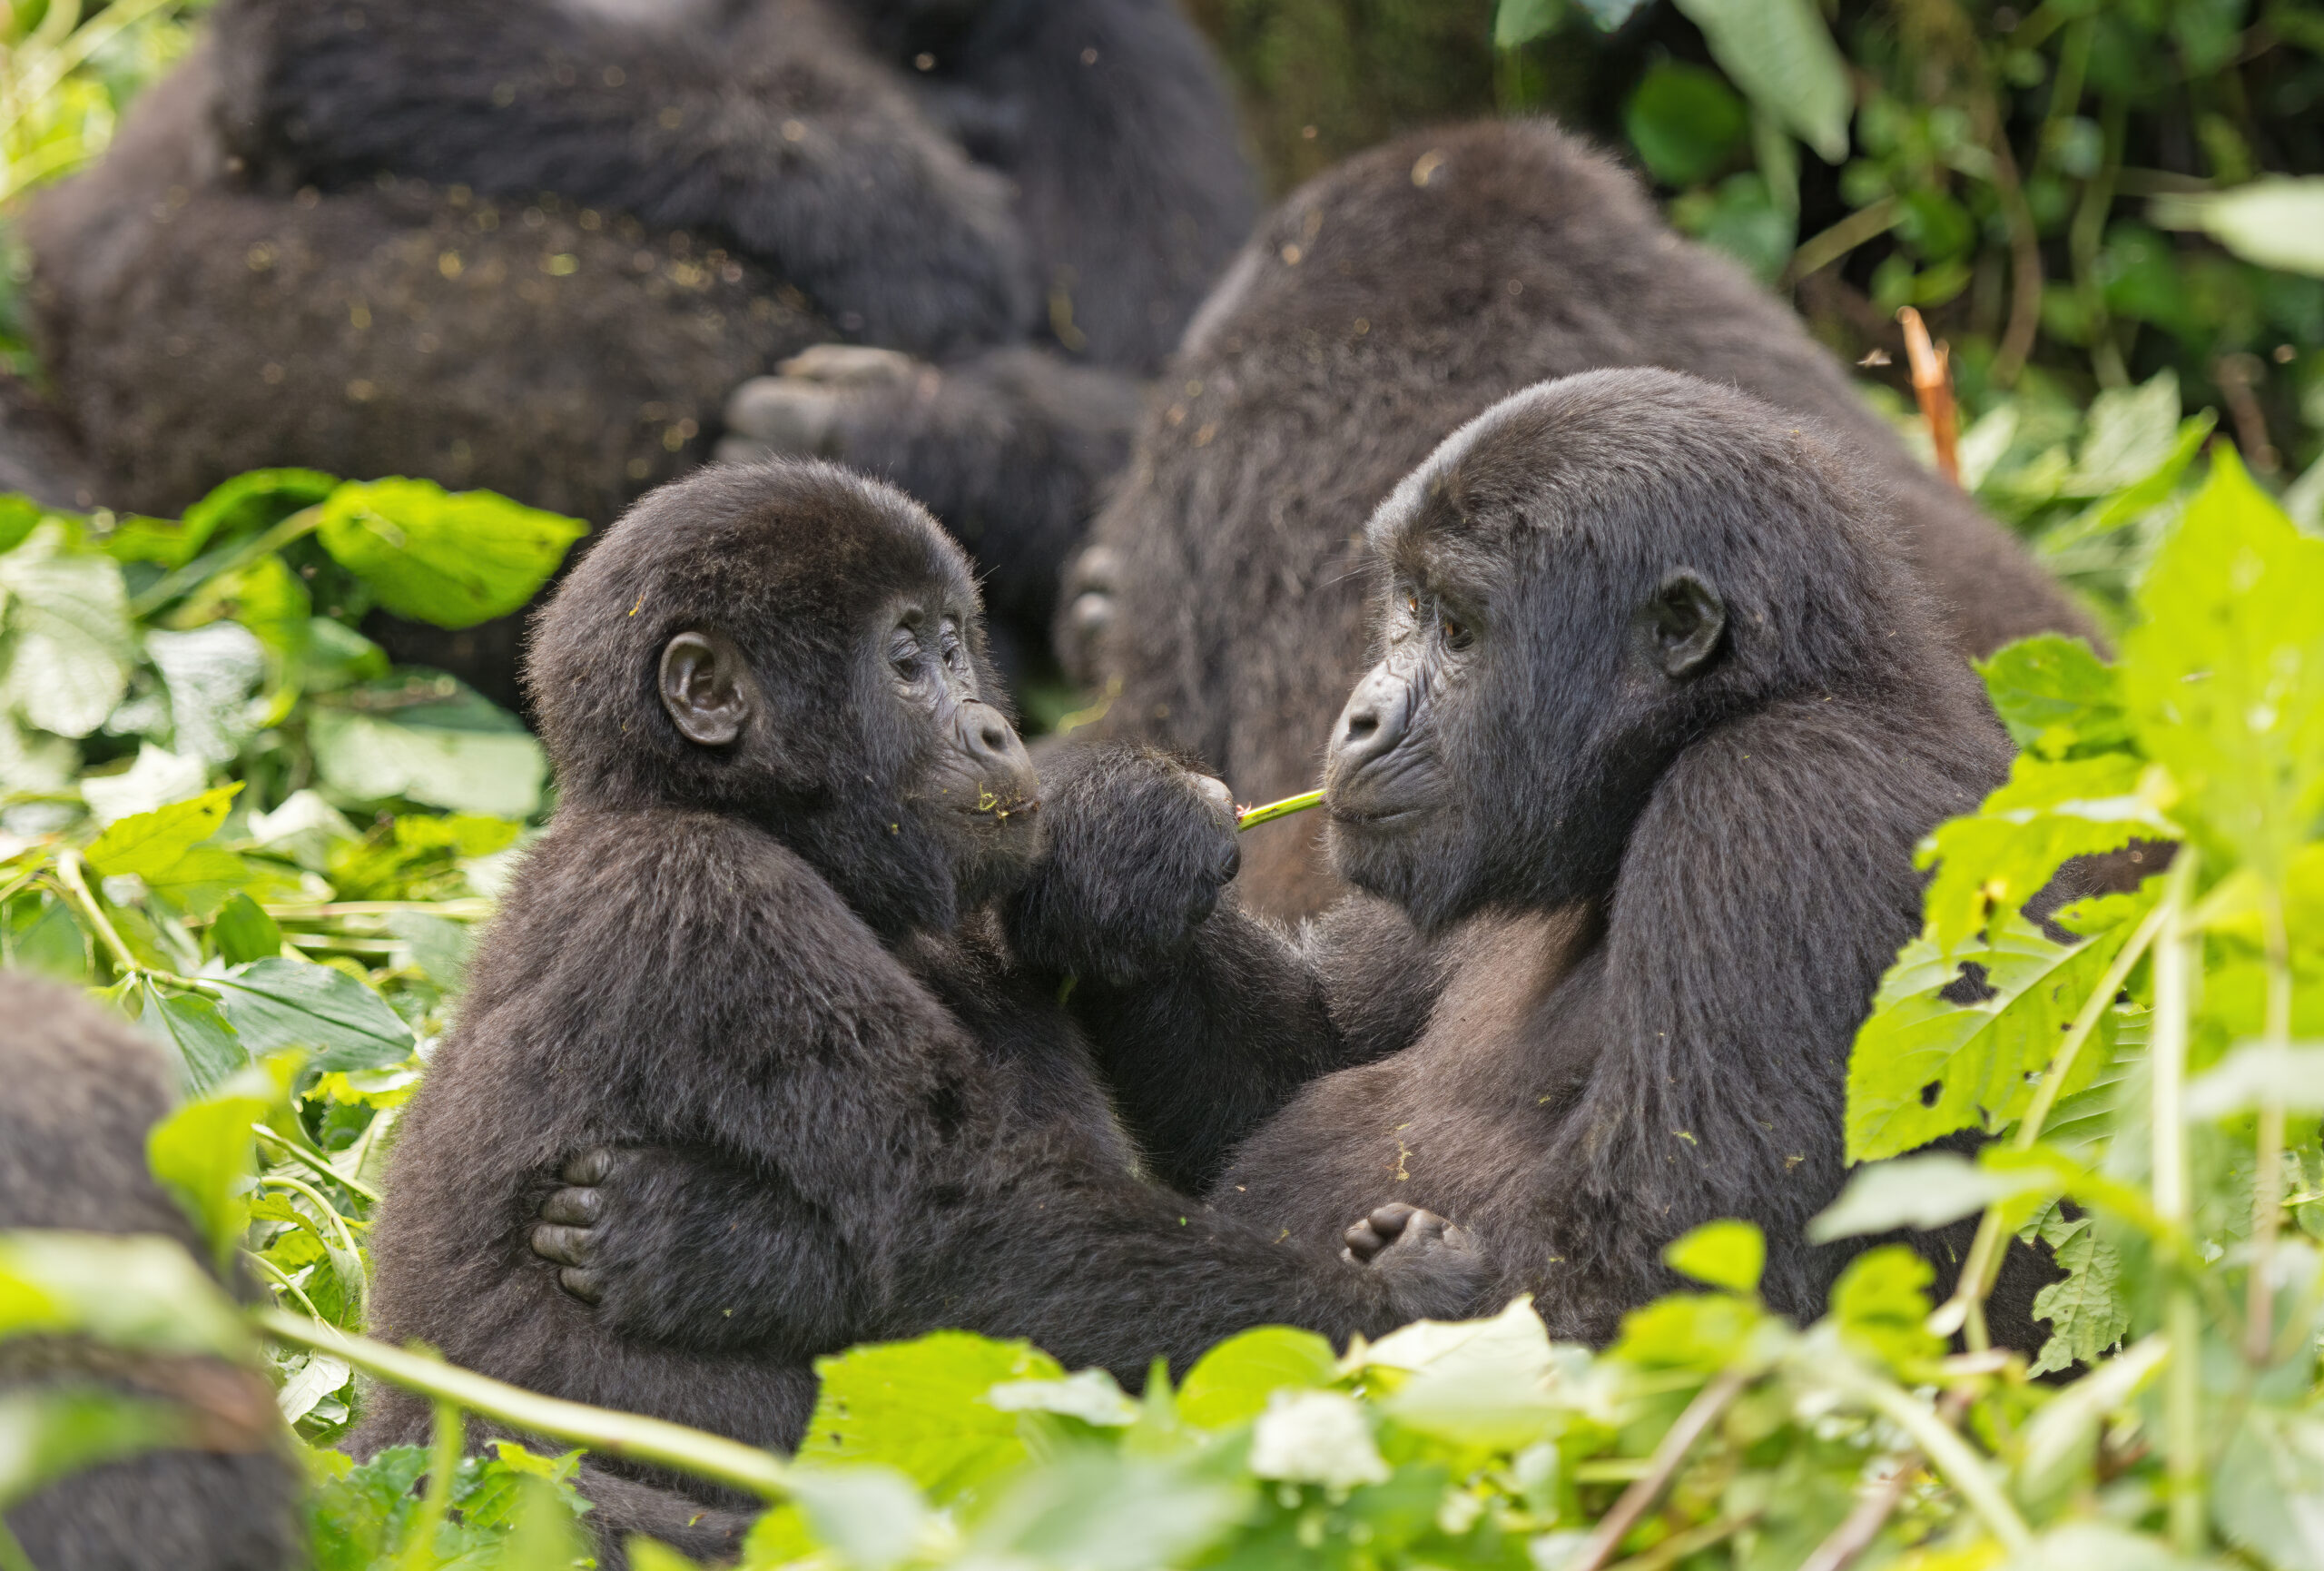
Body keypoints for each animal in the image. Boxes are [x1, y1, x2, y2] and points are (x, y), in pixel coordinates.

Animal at [355, 459, 1484, 1560]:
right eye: (906, 663)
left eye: (955, 647)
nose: (994, 726)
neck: (706, 803)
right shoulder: (704, 898)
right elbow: (966, 1224)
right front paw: (1393, 1312)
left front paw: (1124, 843)